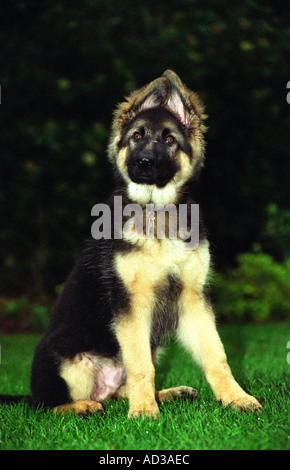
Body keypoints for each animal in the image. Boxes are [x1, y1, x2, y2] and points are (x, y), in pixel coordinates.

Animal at [30, 69, 262, 414]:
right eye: (136, 137)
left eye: (169, 140)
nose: (144, 162)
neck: (156, 209)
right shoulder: (133, 303)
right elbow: (140, 365)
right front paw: (143, 413)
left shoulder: (192, 299)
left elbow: (216, 357)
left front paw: (236, 397)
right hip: (68, 362)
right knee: (45, 406)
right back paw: (84, 407)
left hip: (154, 344)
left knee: (118, 391)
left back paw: (169, 393)